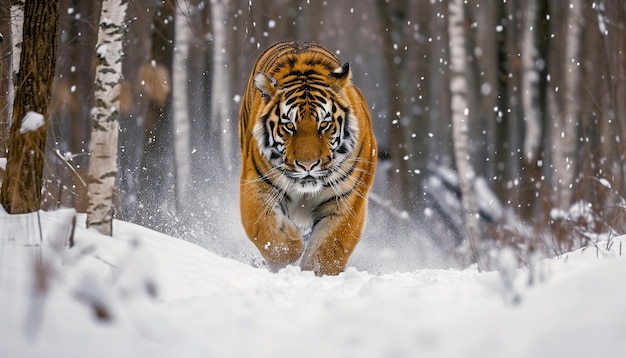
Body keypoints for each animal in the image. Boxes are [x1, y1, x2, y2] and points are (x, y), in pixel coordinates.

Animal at [238, 41, 376, 276]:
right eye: (289, 126)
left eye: (324, 124)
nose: (308, 165)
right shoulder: (257, 185)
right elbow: (265, 230)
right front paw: (292, 245)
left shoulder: (349, 198)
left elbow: (329, 248)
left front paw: (316, 274)